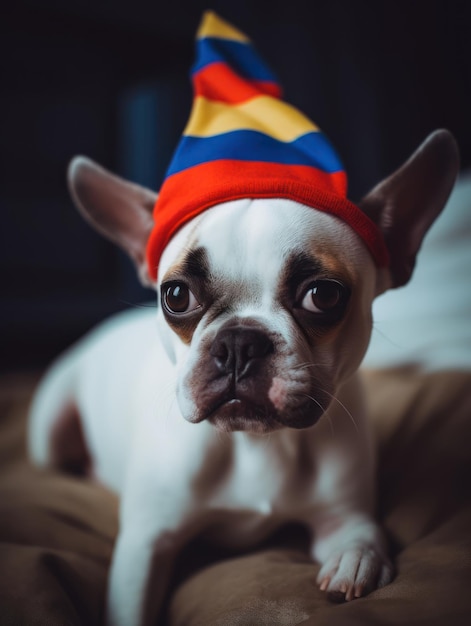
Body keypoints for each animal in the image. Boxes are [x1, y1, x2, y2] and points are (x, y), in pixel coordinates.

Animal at [26, 9, 460, 624]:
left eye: (322, 295)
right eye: (176, 295)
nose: (239, 343)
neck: (258, 446)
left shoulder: (341, 512)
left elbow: (363, 535)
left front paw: (356, 562)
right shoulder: (145, 546)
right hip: (49, 427)